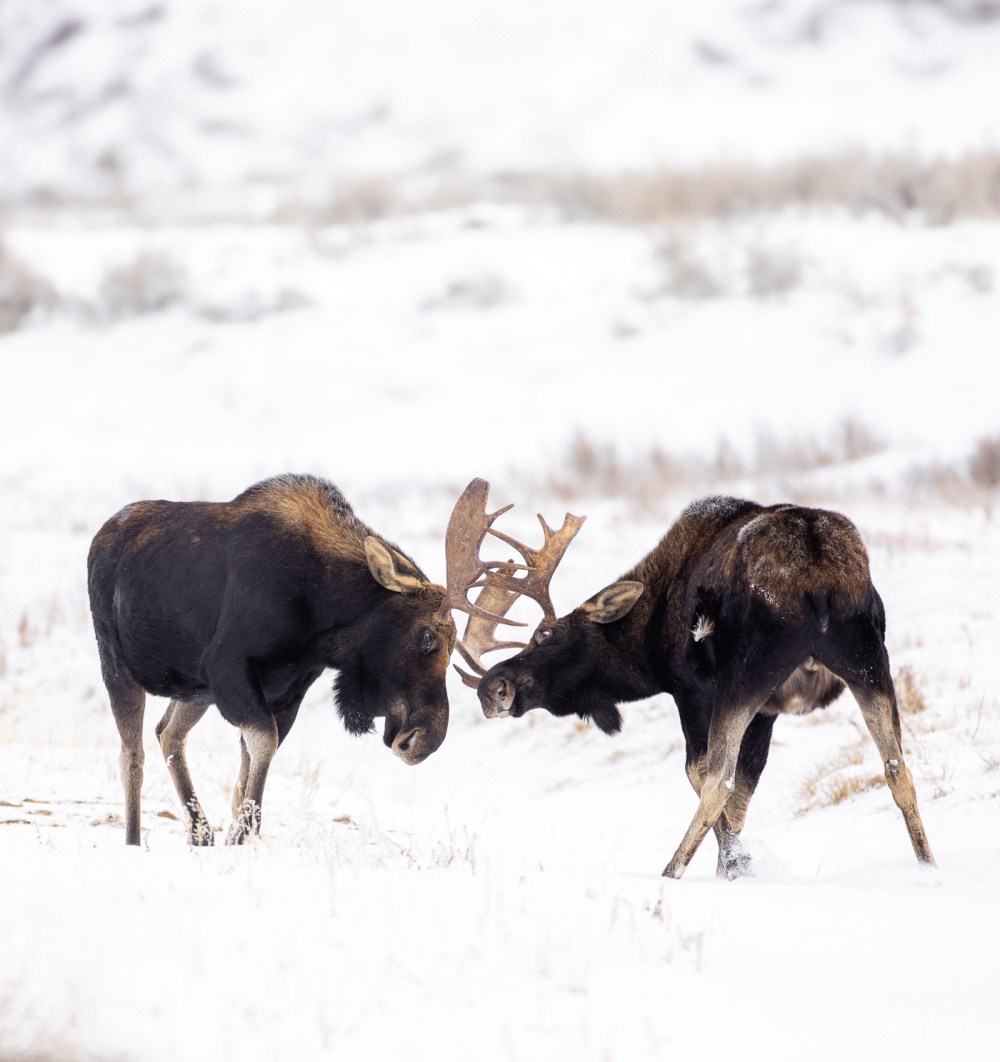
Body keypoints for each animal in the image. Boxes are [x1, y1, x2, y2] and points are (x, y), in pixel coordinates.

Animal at [88, 474, 573, 847]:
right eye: (427, 635)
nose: (425, 740)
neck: (320, 611)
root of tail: (100, 537)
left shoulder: (288, 688)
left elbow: (253, 762)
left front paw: (238, 836)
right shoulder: (229, 670)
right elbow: (261, 747)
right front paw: (243, 836)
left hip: (193, 690)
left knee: (167, 733)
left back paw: (200, 832)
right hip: (117, 663)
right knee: (132, 754)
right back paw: (134, 840)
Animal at [465, 493, 936, 880]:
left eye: (544, 635)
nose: (491, 687)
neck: (647, 641)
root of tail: (817, 568)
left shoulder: (691, 693)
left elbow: (704, 775)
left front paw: (735, 866)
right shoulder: (767, 713)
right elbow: (744, 793)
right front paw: (732, 869)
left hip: (746, 675)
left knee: (716, 781)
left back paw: (669, 871)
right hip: (868, 663)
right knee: (897, 767)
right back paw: (927, 866)